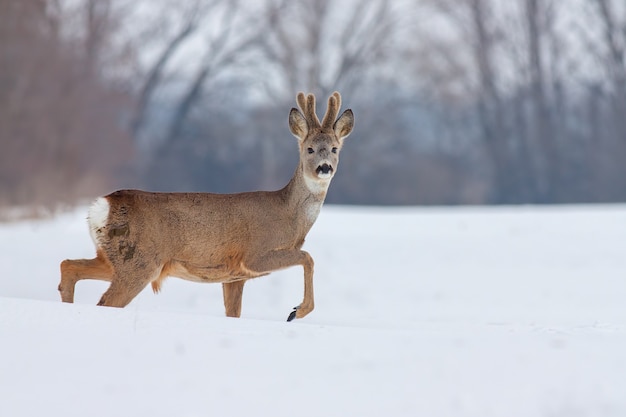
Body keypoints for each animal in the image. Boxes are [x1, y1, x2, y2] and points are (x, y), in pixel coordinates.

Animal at [59, 91, 354, 320]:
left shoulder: (234, 276)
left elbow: (233, 313)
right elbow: (308, 257)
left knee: (68, 266)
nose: (324, 167)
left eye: (335, 148)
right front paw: (297, 311)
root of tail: (103, 204)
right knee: (105, 300)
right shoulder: (255, 255)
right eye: (310, 148)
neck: (289, 217)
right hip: (139, 262)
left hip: (113, 257)